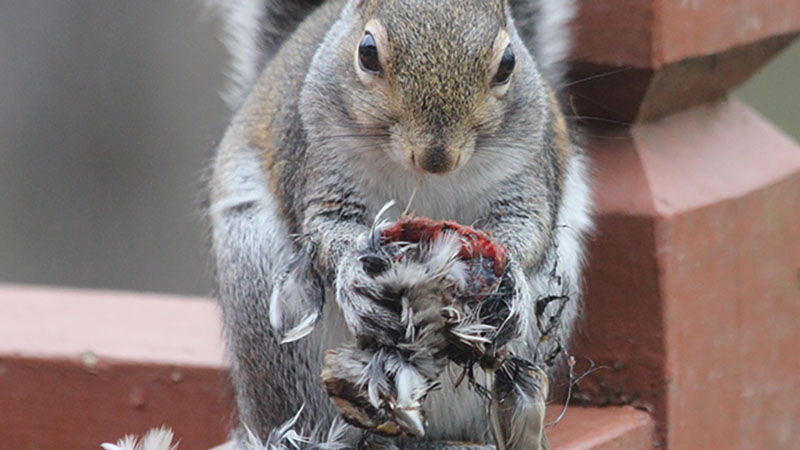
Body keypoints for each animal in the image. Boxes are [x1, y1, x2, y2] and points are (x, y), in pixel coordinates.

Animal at [206, 0, 592, 450]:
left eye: (508, 63)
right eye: (367, 53)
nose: (436, 157)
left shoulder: (528, 167)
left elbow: (527, 224)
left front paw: (507, 280)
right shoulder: (317, 164)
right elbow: (325, 229)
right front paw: (358, 274)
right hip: (272, 322)